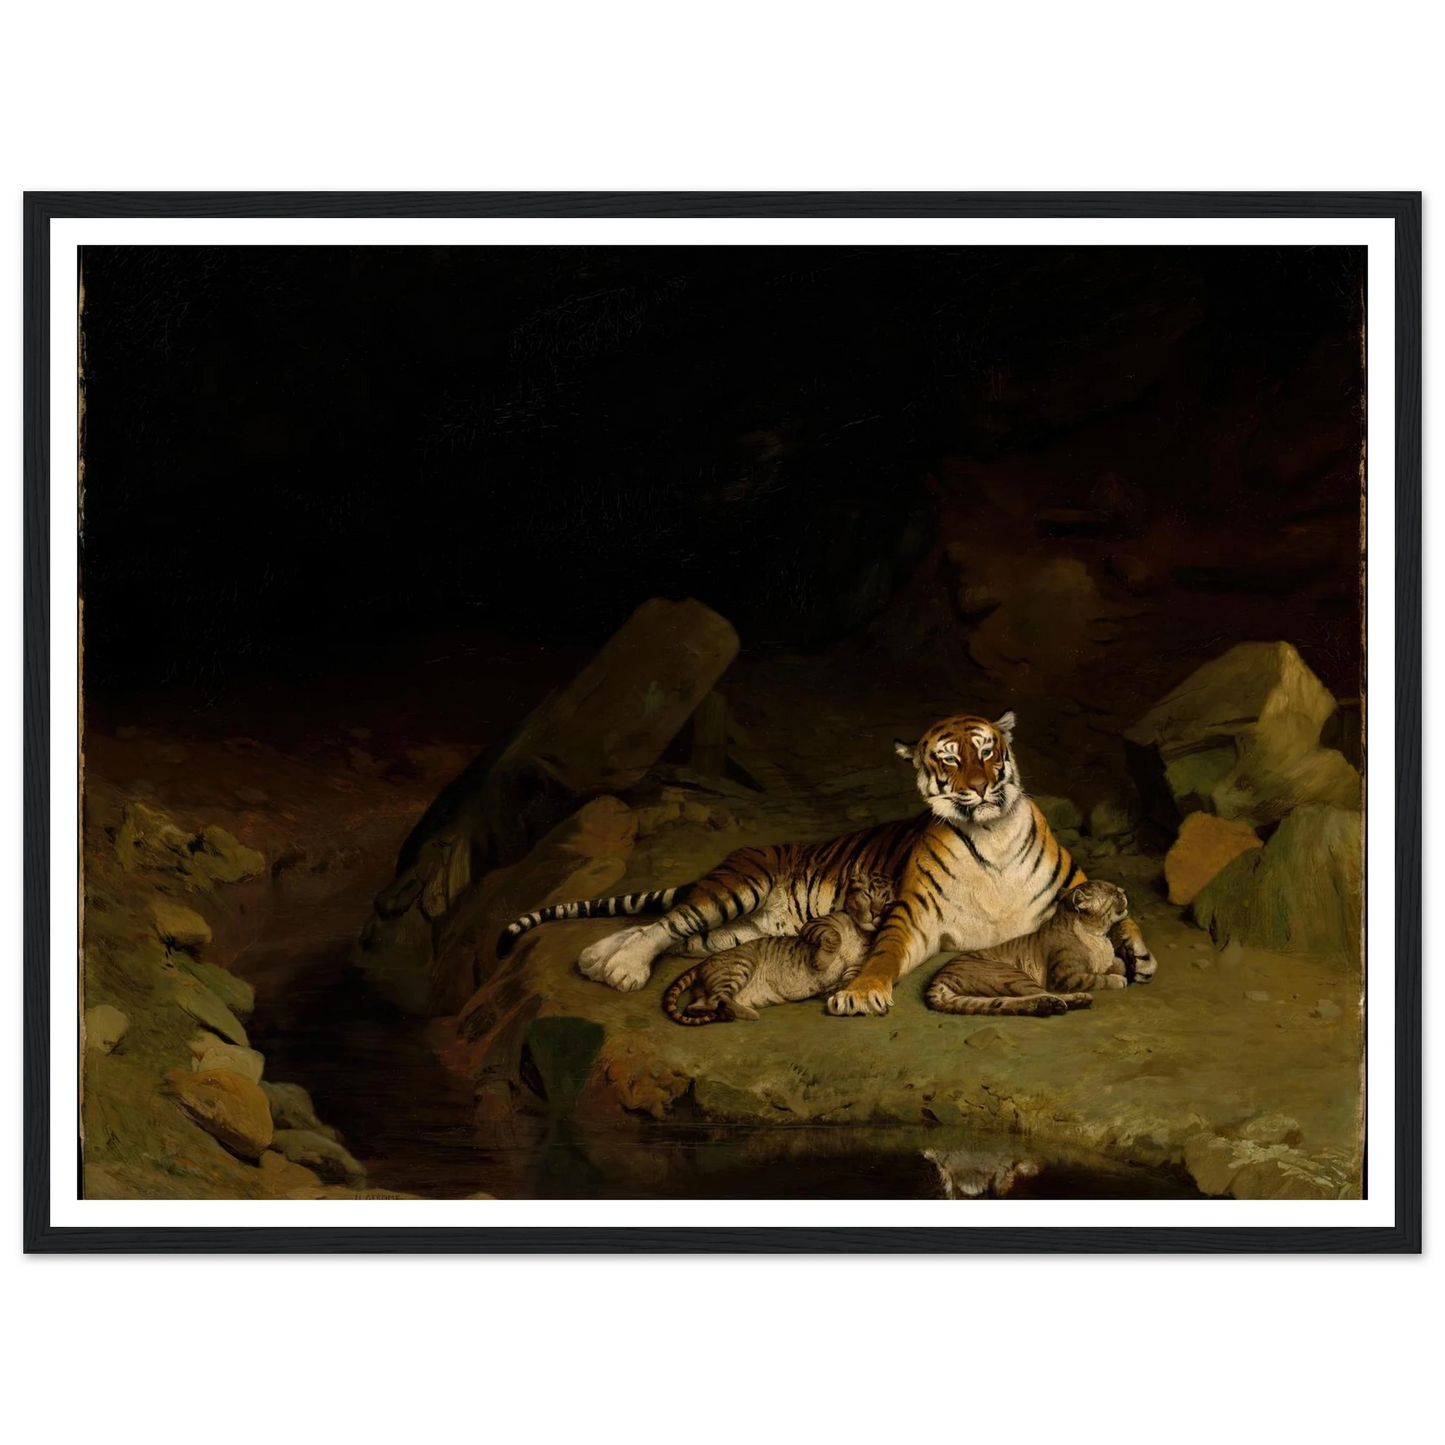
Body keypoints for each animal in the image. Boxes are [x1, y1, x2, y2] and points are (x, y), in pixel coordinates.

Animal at [496, 710, 1156, 1016]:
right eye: (948, 758)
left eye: (987, 749)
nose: (978, 787)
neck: (989, 833)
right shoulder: (911, 915)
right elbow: (884, 954)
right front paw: (859, 994)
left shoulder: (1073, 881)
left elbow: (1125, 918)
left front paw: (1139, 957)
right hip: (735, 889)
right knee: (663, 922)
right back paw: (620, 968)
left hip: (731, 932)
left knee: (663, 931)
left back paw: (597, 959)